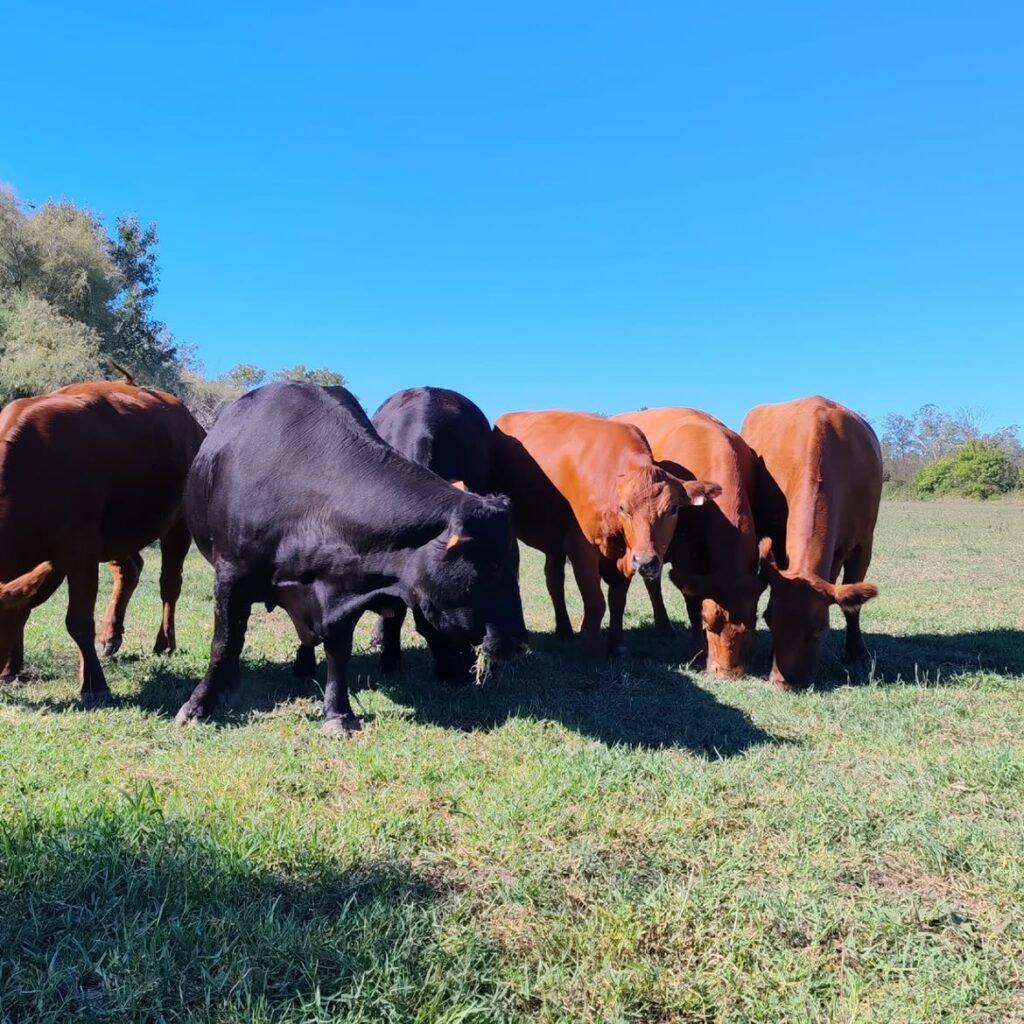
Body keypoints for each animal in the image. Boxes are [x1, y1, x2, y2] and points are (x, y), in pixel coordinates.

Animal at [0, 380, 205, 697]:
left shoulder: (80, 550)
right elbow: (24, 604)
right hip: (116, 535)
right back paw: (112, 635)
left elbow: (78, 621)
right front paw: (12, 666)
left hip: (179, 523)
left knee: (170, 584)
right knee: (130, 570)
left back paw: (164, 643)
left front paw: (94, 684)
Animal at [491, 410, 720, 657]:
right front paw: (595, 652)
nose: (646, 561)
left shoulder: (626, 556)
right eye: (623, 508)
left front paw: (616, 644)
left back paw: (564, 630)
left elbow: (617, 601)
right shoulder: (582, 549)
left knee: (554, 579)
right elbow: (595, 603)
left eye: (673, 509)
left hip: (555, 542)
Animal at [612, 408, 761, 679]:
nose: (727, 674)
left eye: (749, 628)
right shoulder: (685, 560)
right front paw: (697, 652)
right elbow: (692, 605)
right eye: (709, 623)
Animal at [741, 395, 882, 690]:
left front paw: (857, 652)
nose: (785, 684)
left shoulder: (863, 545)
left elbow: (853, 606)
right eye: (769, 619)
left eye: (820, 627)